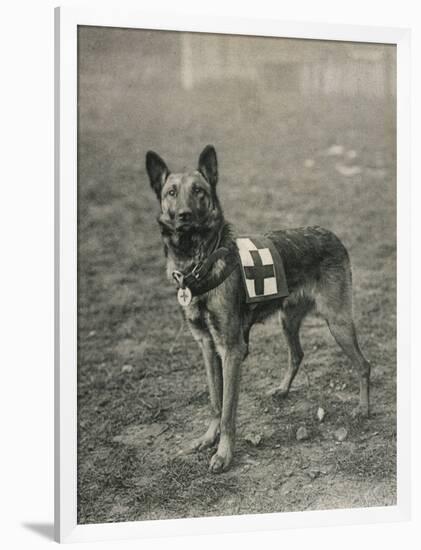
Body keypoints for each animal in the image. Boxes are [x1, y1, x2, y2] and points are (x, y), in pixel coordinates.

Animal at [146, 146, 370, 474]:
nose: (184, 215)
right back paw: (283, 389)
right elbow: (215, 401)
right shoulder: (207, 347)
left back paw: (363, 408)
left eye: (199, 191)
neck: (199, 262)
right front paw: (208, 438)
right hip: (288, 320)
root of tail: (330, 234)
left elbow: (228, 410)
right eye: (171, 192)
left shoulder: (231, 350)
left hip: (337, 322)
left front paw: (224, 453)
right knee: (297, 354)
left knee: (363, 365)